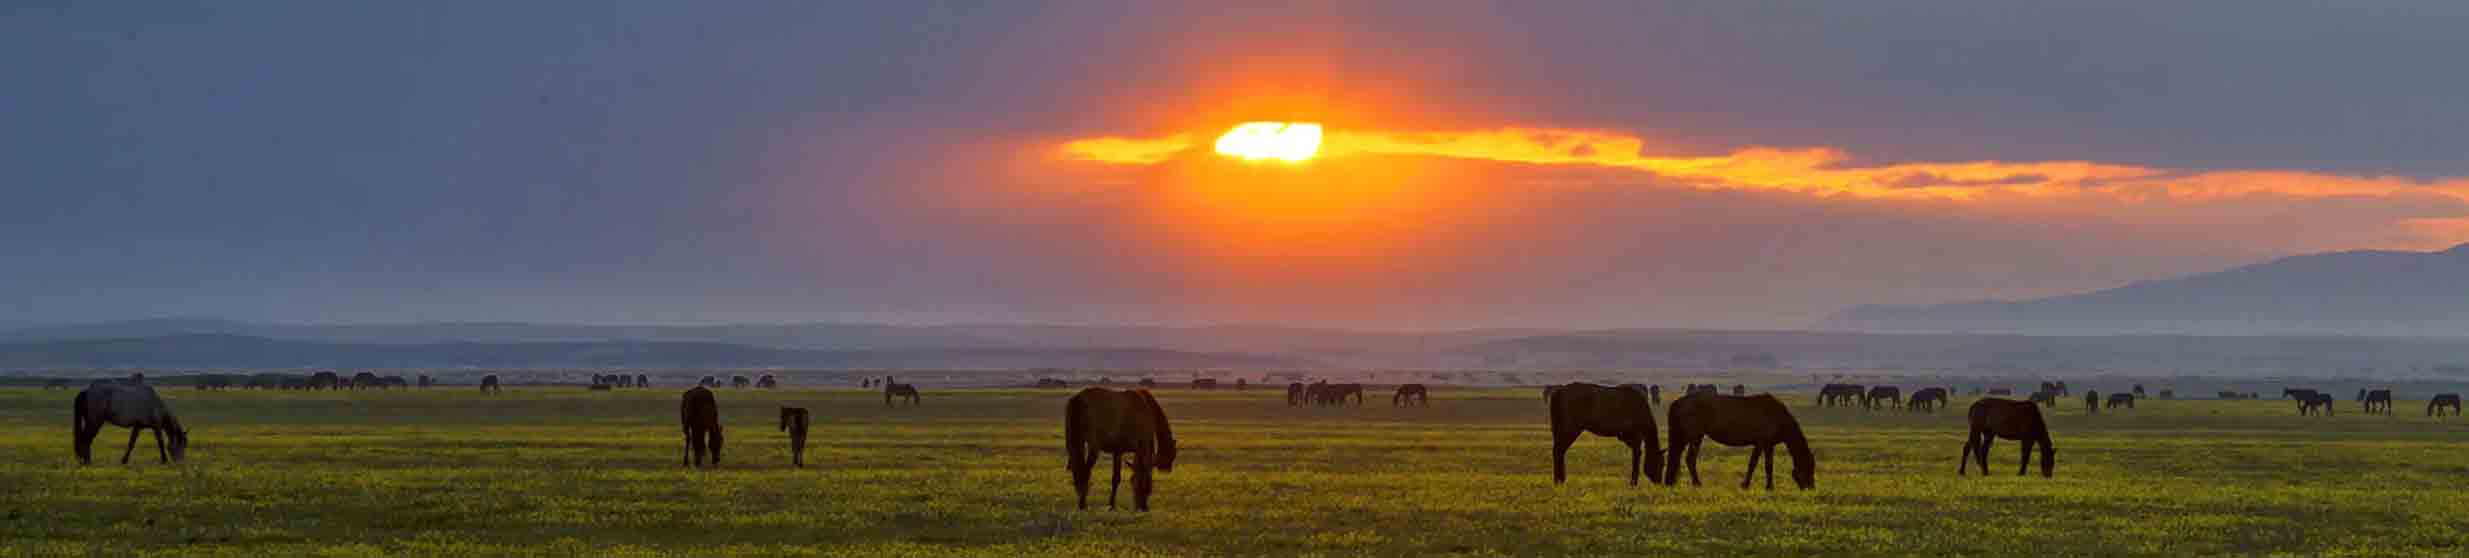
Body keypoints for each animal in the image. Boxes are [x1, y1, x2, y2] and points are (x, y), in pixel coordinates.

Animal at [1659, 390, 1817, 491]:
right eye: (1809, 467)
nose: (1811, 488)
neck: (1778, 416)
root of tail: (1679, 402)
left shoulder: (1765, 444)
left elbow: (1759, 464)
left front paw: (1753, 485)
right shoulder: (1763, 443)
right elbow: (1762, 465)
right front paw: (1765, 487)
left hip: (1685, 436)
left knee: (1677, 456)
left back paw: (1672, 482)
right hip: (1695, 436)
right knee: (1689, 459)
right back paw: (1697, 483)